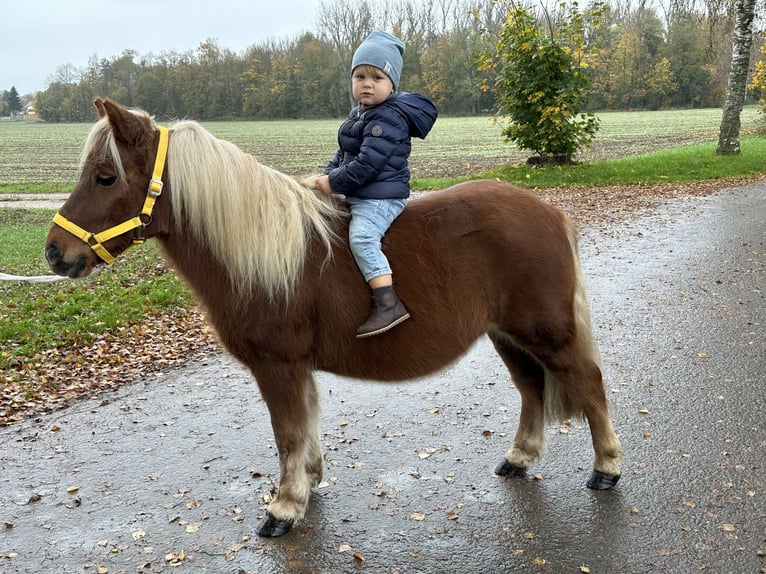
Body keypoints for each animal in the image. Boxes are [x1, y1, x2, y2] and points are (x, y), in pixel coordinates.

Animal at [43, 100, 624, 540]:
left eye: (105, 176)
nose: (54, 253)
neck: (261, 251)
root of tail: (549, 212)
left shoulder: (277, 364)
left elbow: (287, 431)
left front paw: (284, 508)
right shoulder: (296, 367)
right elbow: (306, 425)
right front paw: (308, 483)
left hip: (547, 333)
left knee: (588, 384)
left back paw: (606, 469)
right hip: (508, 335)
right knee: (531, 389)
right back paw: (520, 458)